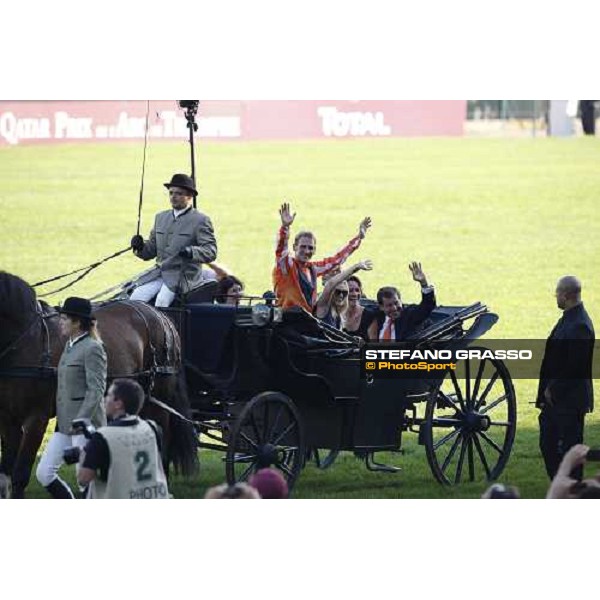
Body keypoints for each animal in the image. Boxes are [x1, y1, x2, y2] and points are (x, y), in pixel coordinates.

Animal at [0, 272, 198, 496]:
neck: (27, 340)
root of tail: (161, 316)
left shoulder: (36, 419)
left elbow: (20, 474)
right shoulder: (8, 420)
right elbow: (5, 474)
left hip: (159, 399)